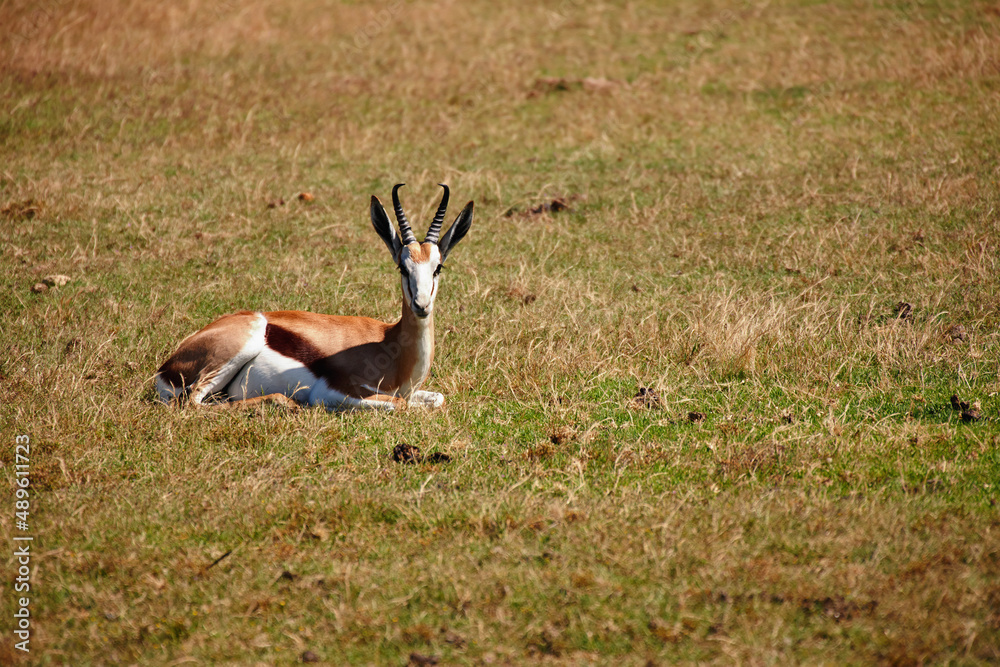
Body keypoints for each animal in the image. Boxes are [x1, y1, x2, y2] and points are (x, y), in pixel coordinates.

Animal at [154, 184, 474, 412]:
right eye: (402, 267)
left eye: (438, 267)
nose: (421, 305)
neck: (392, 347)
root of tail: (166, 367)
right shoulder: (335, 391)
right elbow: (400, 404)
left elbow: (437, 398)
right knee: (193, 403)